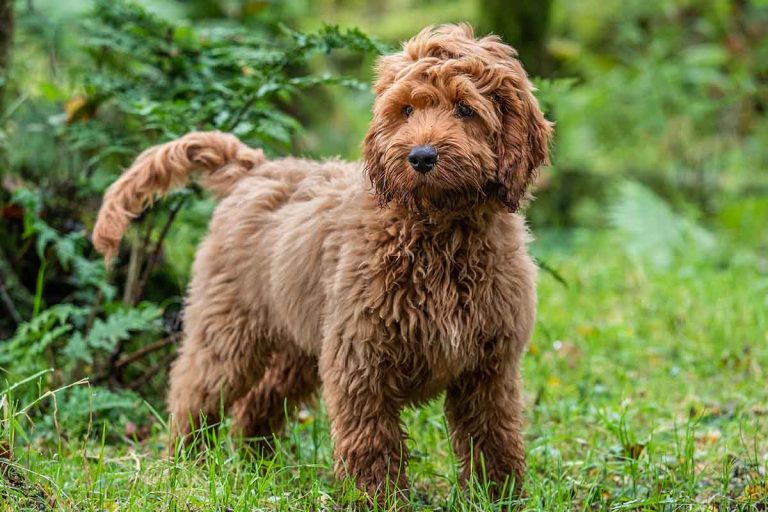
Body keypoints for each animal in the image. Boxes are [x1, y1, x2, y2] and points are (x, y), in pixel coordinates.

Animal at [93, 22, 552, 502]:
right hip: (228, 329)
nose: (421, 157)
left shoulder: (489, 368)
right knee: (194, 391)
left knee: (258, 402)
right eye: (406, 109)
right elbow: (371, 439)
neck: (437, 232)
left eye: (465, 109)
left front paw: (499, 494)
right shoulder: (360, 357)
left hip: (298, 341)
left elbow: (493, 435)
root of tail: (254, 168)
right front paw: (377, 498)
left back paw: (260, 466)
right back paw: (186, 464)